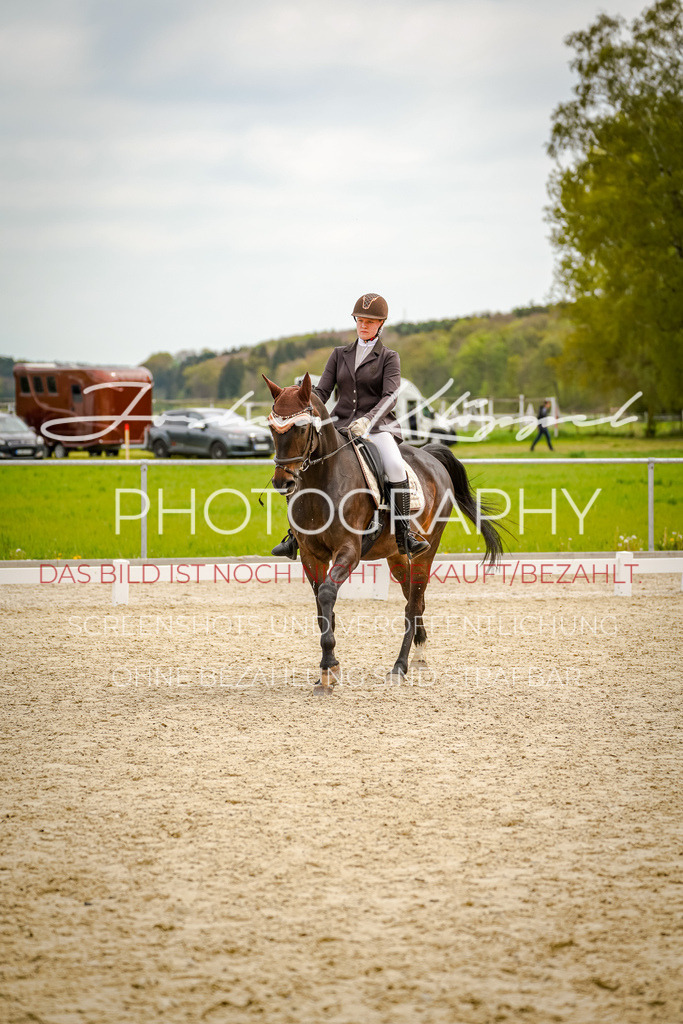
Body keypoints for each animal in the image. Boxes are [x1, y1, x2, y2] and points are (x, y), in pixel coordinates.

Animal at [264, 372, 505, 692]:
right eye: (272, 427)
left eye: (301, 428)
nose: (283, 483)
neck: (321, 481)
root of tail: (429, 456)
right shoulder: (310, 554)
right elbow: (321, 608)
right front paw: (328, 669)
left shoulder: (349, 550)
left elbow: (327, 594)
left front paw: (328, 668)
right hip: (397, 554)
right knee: (415, 598)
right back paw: (419, 653)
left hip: (428, 549)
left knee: (413, 603)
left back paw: (400, 666)